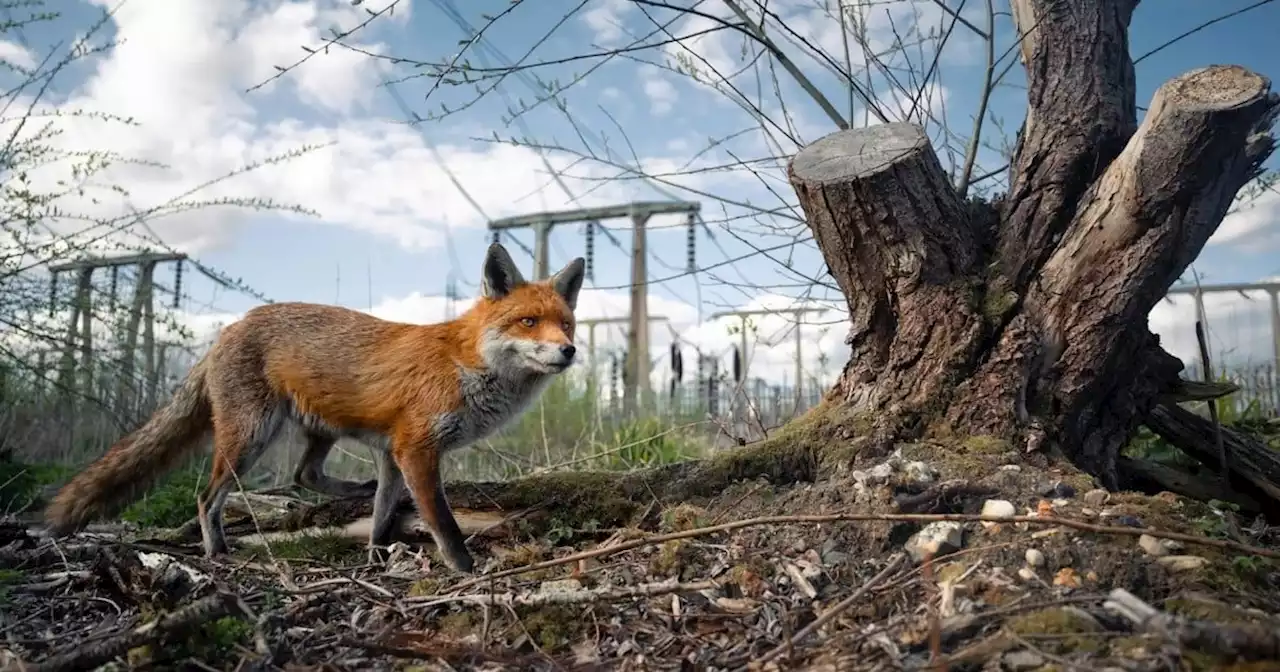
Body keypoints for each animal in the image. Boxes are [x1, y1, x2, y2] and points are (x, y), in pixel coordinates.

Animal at [45, 241, 586, 570]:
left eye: (567, 324)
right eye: (529, 322)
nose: (570, 351)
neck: (466, 363)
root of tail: (231, 327)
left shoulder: (392, 452)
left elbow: (383, 512)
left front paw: (375, 553)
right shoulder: (416, 448)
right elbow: (444, 524)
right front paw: (464, 568)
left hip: (318, 429)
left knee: (304, 474)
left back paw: (347, 490)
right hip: (250, 437)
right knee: (208, 497)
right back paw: (217, 550)